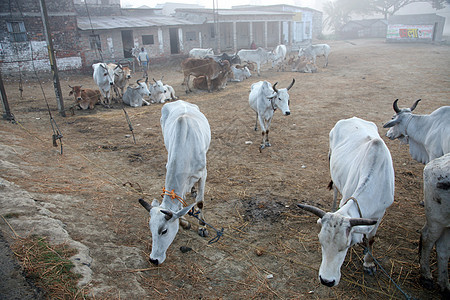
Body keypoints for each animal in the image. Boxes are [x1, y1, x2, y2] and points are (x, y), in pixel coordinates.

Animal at [139, 101, 211, 264]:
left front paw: (202, 227)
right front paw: (184, 222)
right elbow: (180, 202)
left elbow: (200, 202)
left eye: (164, 230)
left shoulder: (203, 173)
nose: (153, 260)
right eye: (151, 229)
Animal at [298, 116, 394, 286]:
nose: (326, 281)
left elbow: (371, 239)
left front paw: (368, 263)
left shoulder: (380, 213)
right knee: (336, 190)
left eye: (345, 246)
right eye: (321, 242)